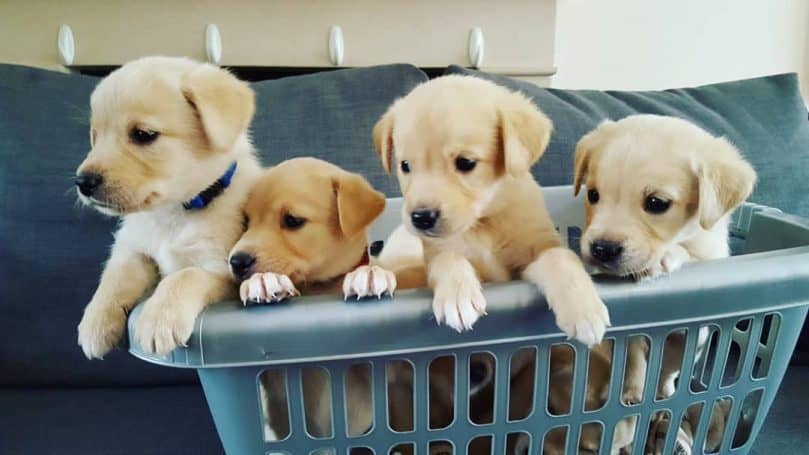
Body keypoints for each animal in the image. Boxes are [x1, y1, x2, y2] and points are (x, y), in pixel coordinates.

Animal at [76, 54, 258, 360]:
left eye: (143, 134)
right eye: (95, 135)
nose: (82, 182)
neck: (172, 214)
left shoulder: (224, 271)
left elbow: (184, 276)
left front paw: (159, 318)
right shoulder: (134, 247)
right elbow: (114, 277)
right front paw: (96, 321)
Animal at [370, 75, 608, 346]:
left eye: (466, 162)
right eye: (405, 166)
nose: (421, 218)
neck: (483, 223)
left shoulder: (532, 257)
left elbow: (560, 258)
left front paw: (584, 309)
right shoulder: (438, 252)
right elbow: (448, 258)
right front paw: (457, 294)